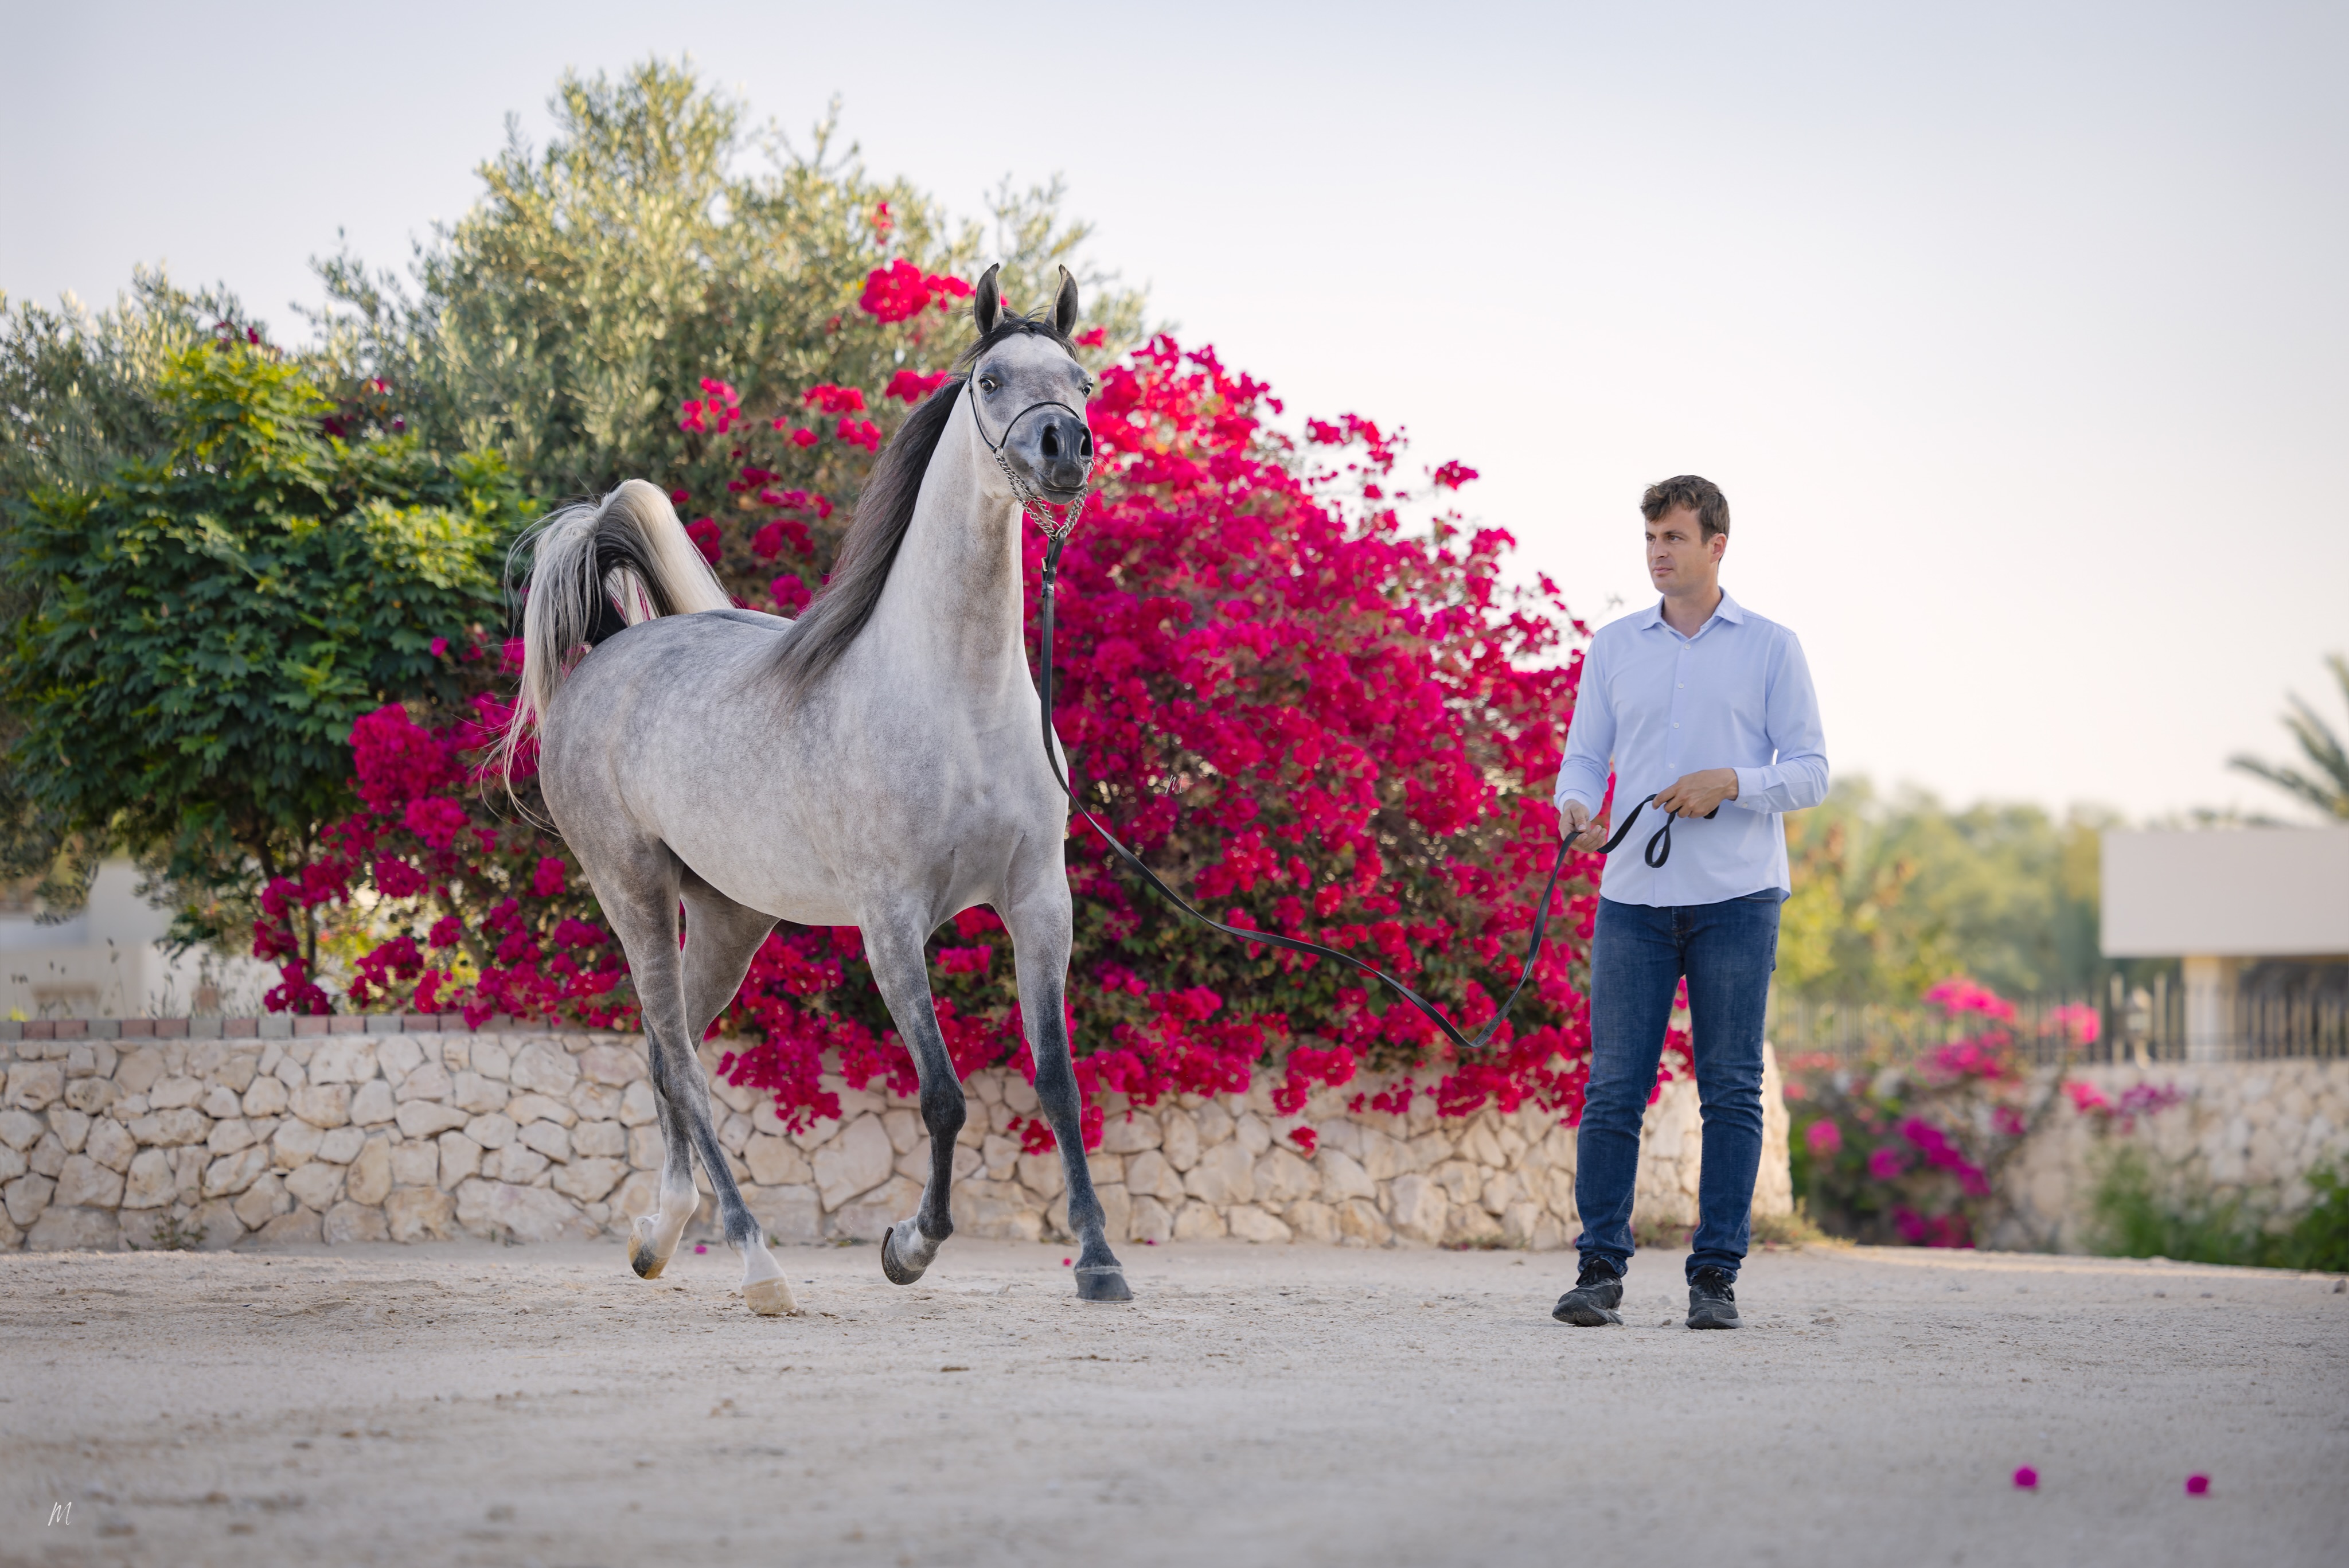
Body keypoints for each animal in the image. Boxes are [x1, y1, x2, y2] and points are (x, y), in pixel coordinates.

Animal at [499, 264, 1126, 1314]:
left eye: (1080, 381)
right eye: (992, 378)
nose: (1064, 449)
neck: (955, 698)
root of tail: (610, 649)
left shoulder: (1040, 899)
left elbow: (1059, 1083)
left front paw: (1099, 1260)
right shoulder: (890, 918)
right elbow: (943, 1093)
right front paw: (908, 1245)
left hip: (729, 917)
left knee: (669, 1053)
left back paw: (659, 1233)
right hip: (635, 894)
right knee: (681, 1062)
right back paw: (758, 1263)